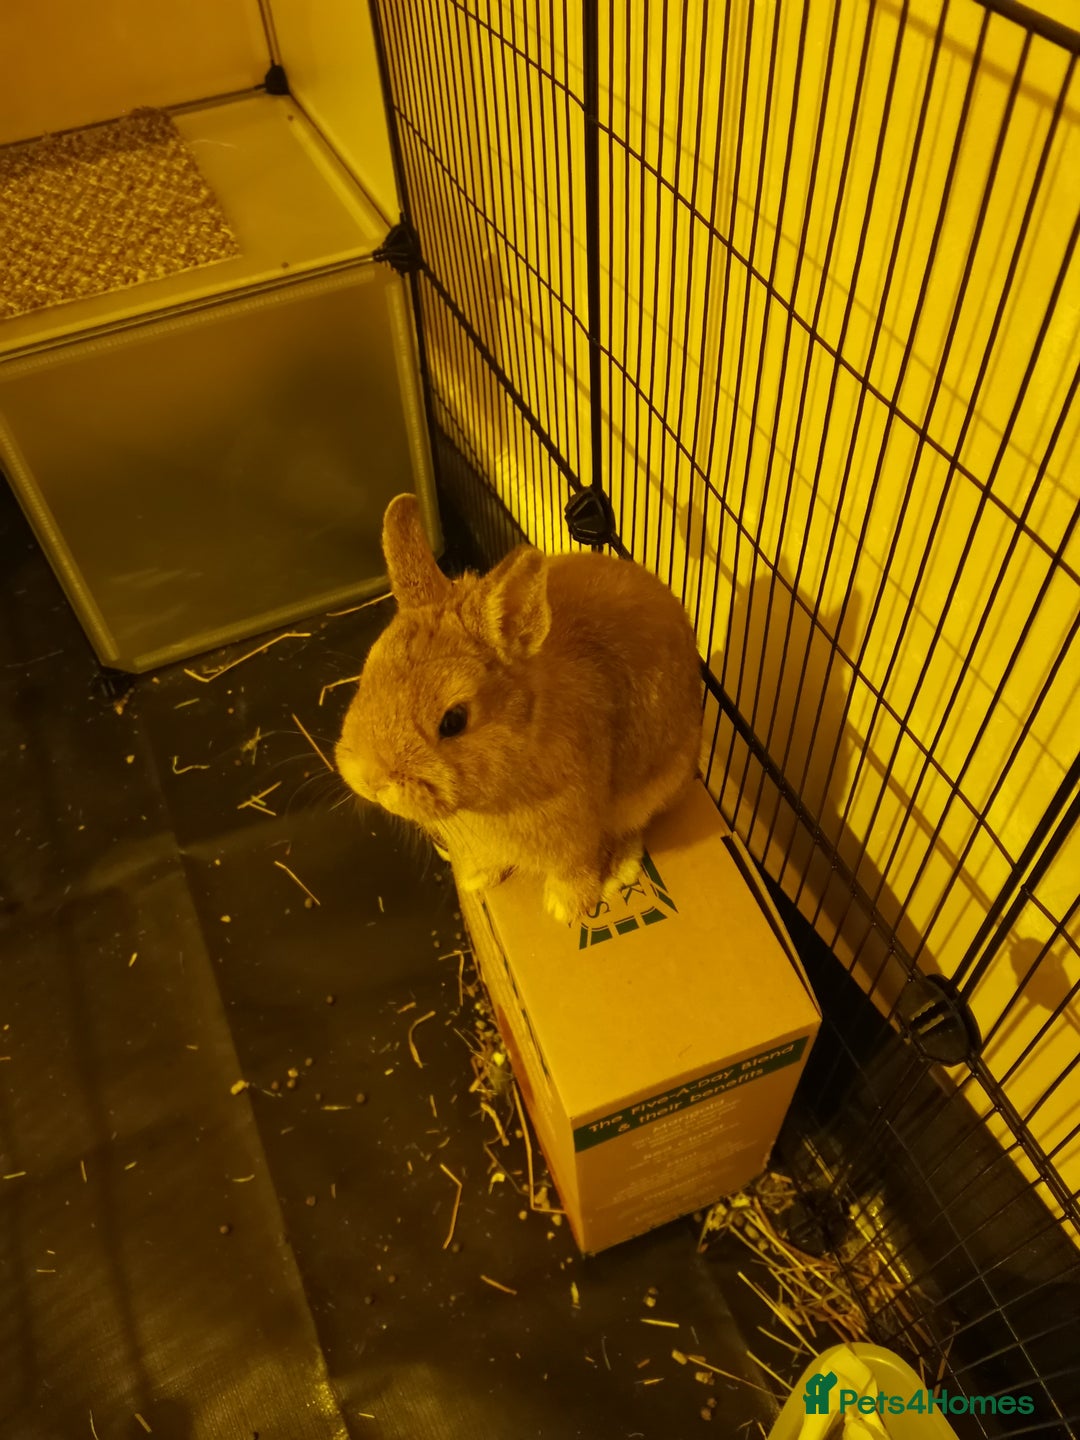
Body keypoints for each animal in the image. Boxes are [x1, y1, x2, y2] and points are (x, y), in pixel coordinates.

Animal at [334, 493, 703, 924]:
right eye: (367, 673)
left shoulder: (576, 835)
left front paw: (566, 908)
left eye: (453, 721)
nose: (371, 781)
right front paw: (476, 878)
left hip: (654, 787)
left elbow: (575, 868)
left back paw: (619, 870)